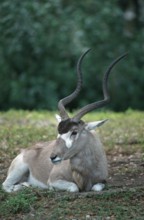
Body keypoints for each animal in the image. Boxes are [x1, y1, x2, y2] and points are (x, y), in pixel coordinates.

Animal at [1, 49, 126, 192]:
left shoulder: (102, 181)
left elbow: (96, 188)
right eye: (58, 133)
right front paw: (51, 189)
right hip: (18, 170)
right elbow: (74, 187)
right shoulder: (54, 180)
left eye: (74, 132)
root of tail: (25, 151)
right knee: (6, 185)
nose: (53, 157)